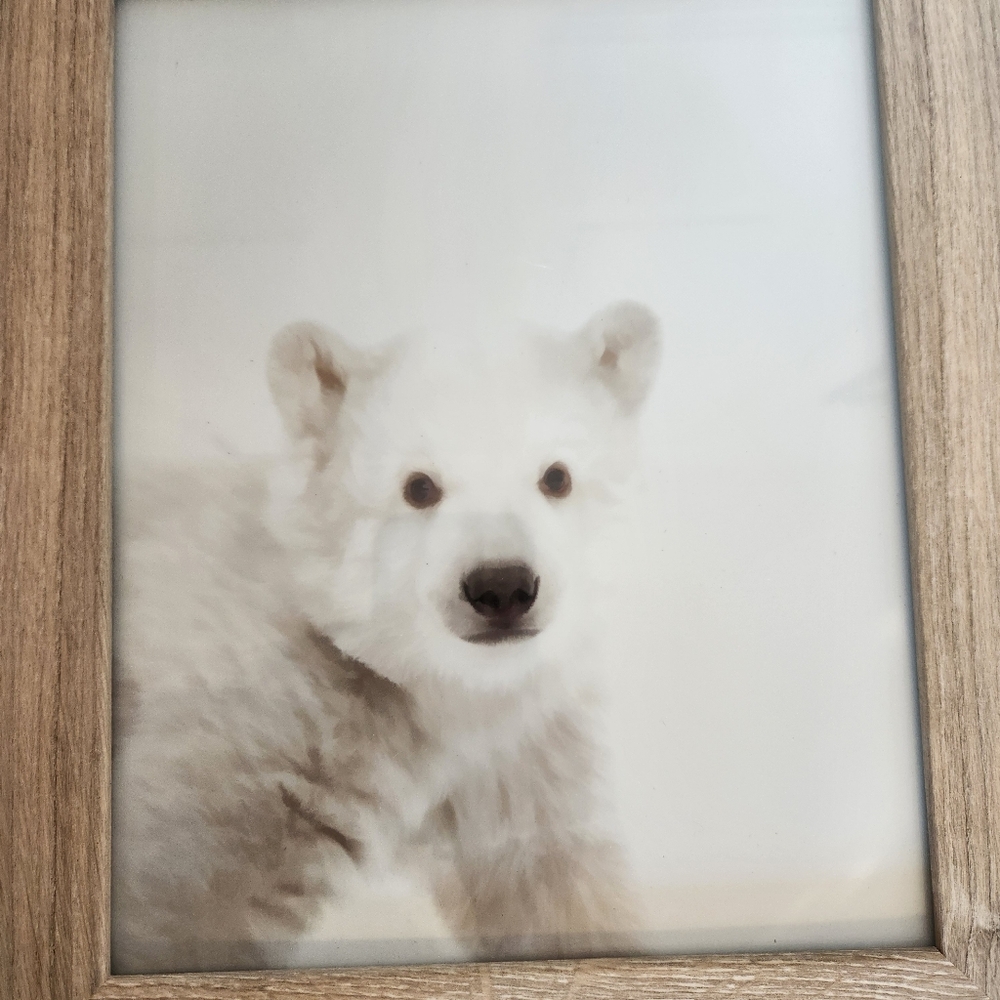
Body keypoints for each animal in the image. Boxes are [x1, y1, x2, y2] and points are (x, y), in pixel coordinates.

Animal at [111, 301, 662, 973]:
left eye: (556, 476)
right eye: (418, 486)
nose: (502, 587)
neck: (438, 694)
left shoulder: (518, 756)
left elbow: (556, 887)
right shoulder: (263, 723)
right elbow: (190, 886)